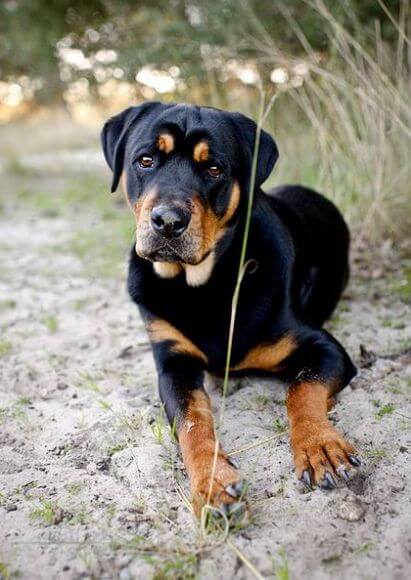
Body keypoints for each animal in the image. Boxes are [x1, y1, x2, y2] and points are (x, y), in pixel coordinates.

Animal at [102, 101, 360, 516]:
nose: (168, 221)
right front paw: (213, 483)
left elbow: (302, 389)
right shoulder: (173, 365)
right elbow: (192, 422)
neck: (203, 284)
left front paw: (319, 444)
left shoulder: (324, 348)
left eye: (214, 169)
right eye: (145, 160)